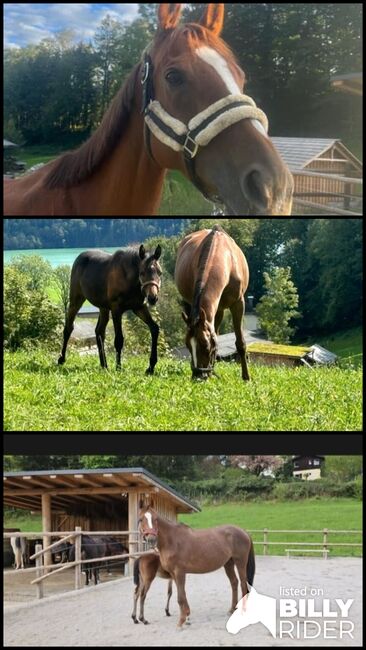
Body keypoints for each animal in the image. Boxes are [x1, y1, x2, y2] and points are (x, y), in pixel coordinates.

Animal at [58, 243, 162, 372]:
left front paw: (151, 367)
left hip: (103, 308)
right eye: (142, 272)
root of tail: (80, 257)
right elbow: (119, 339)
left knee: (99, 331)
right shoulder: (116, 309)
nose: (153, 298)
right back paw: (61, 359)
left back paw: (104, 365)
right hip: (76, 300)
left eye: (160, 273)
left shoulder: (139, 307)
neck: (128, 279)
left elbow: (154, 329)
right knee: (69, 328)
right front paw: (118, 367)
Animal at [176, 227, 250, 380]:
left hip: (220, 309)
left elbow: (240, 342)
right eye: (187, 345)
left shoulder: (238, 304)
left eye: (205, 344)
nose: (198, 375)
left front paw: (246, 377)